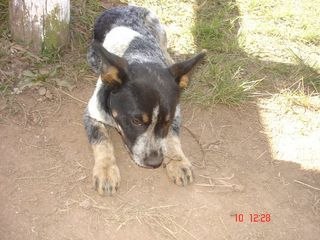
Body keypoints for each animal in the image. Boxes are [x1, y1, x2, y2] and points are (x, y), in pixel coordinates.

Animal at [84, 5, 205, 196]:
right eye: (136, 121)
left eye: (166, 121)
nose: (155, 163)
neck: (140, 56)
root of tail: (122, 6)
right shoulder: (91, 114)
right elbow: (102, 141)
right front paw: (106, 171)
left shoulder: (176, 113)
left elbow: (171, 137)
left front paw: (177, 162)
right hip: (91, 54)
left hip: (159, 27)